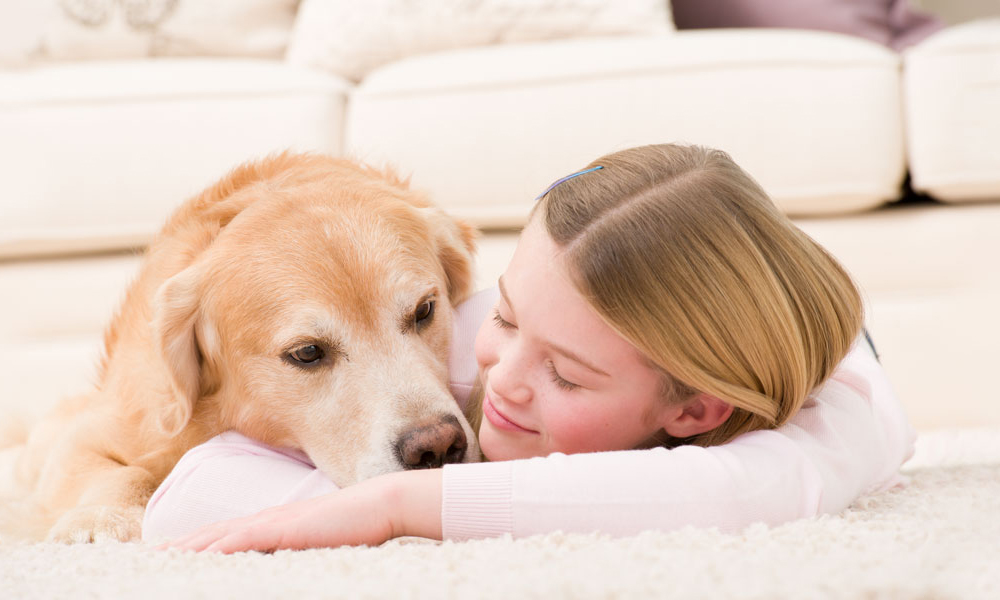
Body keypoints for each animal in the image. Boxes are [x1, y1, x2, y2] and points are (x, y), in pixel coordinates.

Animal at [0, 151, 480, 544]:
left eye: (424, 310)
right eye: (307, 353)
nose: (437, 447)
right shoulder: (100, 430)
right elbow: (118, 470)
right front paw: (101, 518)